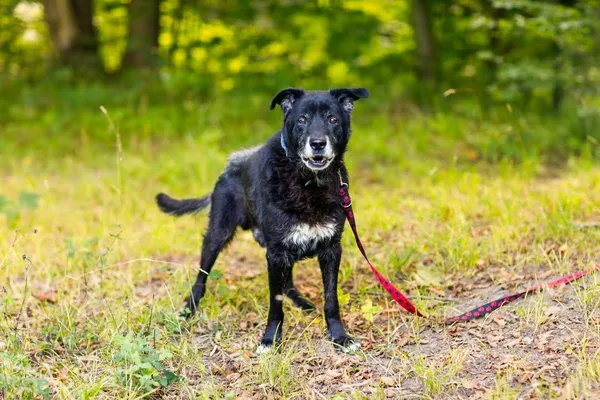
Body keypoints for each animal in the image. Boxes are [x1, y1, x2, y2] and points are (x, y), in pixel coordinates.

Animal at [156, 86, 366, 350]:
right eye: (302, 120)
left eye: (333, 119)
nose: (318, 143)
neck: (308, 182)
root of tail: (231, 165)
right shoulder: (275, 254)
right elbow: (275, 302)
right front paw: (271, 338)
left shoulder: (330, 249)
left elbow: (331, 298)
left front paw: (339, 336)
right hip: (217, 234)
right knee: (200, 279)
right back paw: (188, 311)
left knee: (288, 283)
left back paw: (302, 303)